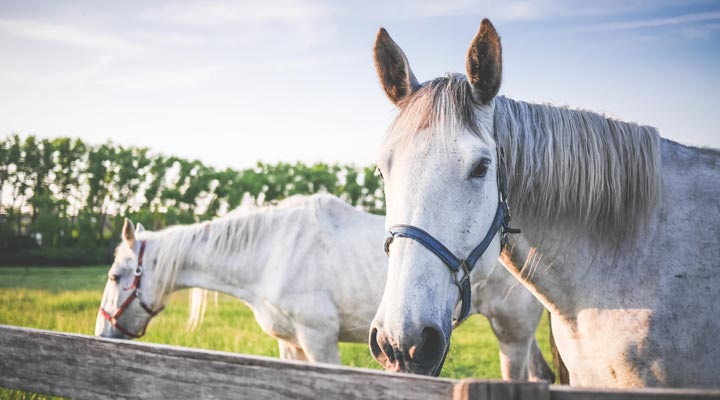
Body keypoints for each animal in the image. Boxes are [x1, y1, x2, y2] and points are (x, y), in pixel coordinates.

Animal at [95, 194, 556, 382]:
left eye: (116, 277)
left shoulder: (319, 341)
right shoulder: (290, 346)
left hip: (512, 336)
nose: (101, 334)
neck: (270, 251)